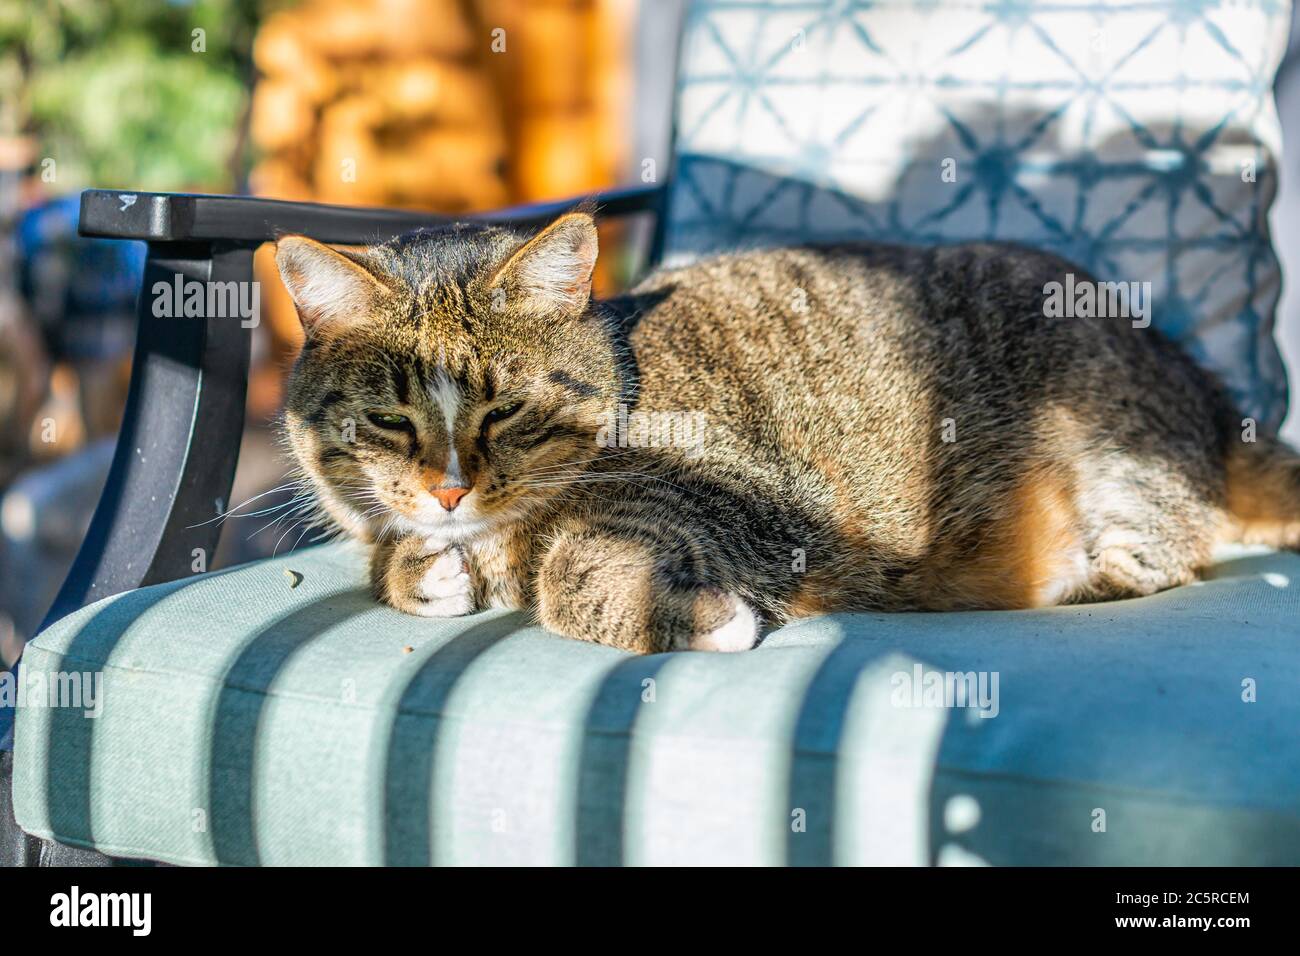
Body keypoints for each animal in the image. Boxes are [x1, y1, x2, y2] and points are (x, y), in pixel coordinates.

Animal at [274, 208, 1300, 658]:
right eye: (389, 419)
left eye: (507, 410)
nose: (449, 487)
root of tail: (1209, 393)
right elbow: (401, 556)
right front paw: (422, 564)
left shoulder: (749, 504)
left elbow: (574, 572)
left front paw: (696, 616)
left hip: (1110, 444)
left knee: (1166, 542)